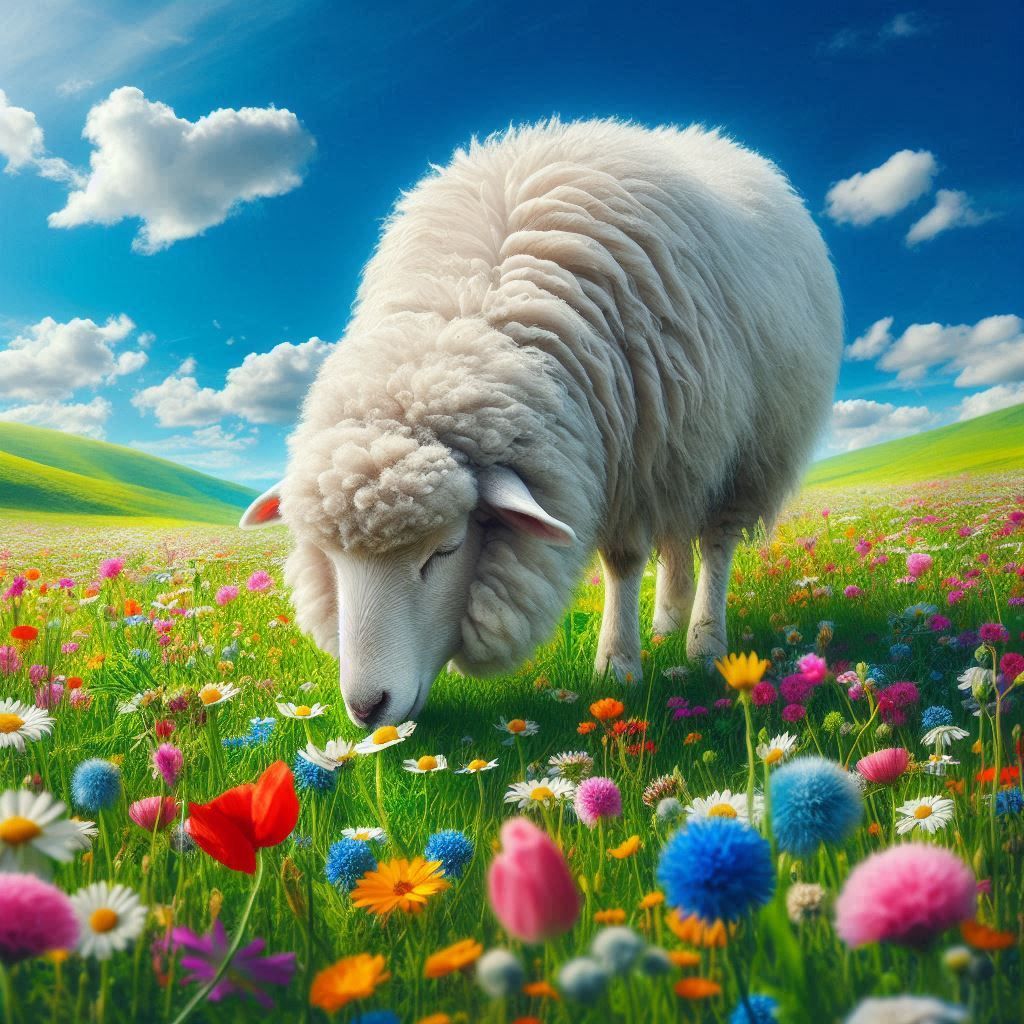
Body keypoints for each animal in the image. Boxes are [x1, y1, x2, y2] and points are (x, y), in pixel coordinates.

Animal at [241, 118, 843, 728]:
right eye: (333, 559)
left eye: (446, 551)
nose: (367, 708)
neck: (468, 314)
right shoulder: (643, 452)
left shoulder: (636, 457)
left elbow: (624, 562)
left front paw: (616, 666)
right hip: (688, 449)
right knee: (678, 538)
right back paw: (668, 622)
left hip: (746, 450)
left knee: (716, 541)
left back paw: (704, 644)